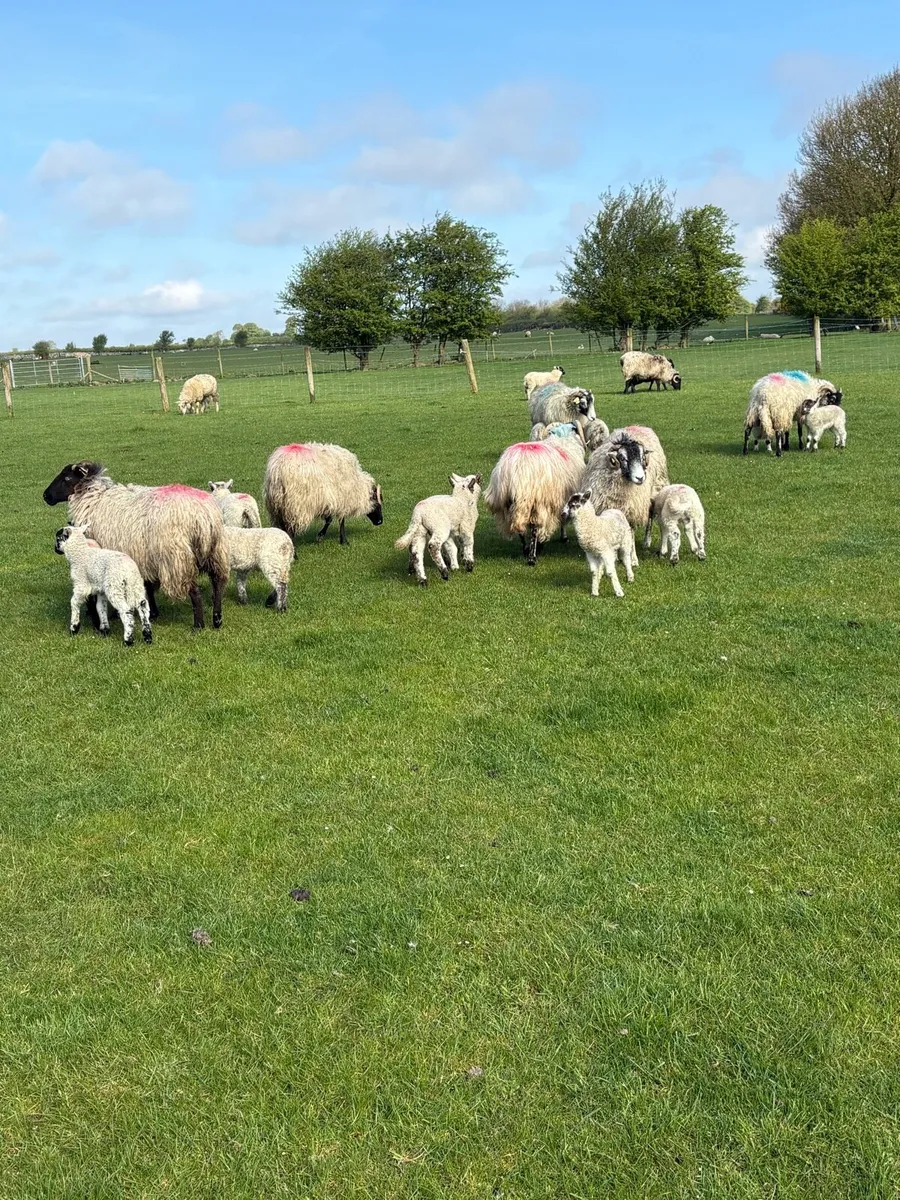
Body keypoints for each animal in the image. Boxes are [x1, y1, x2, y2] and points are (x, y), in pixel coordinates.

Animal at [43, 462, 229, 631]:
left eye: (66, 478)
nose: (46, 496)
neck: (92, 498)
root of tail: (203, 515)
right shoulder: (142, 556)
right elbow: (147, 586)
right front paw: (152, 613)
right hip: (215, 552)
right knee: (218, 583)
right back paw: (217, 618)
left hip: (177, 558)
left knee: (195, 591)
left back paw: (199, 625)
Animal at [484, 422, 586, 566]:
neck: (562, 438)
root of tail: (514, 470)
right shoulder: (562, 499)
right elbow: (562, 520)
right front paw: (563, 537)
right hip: (537, 501)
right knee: (535, 528)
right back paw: (533, 556)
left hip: (508, 503)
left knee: (519, 528)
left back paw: (526, 549)